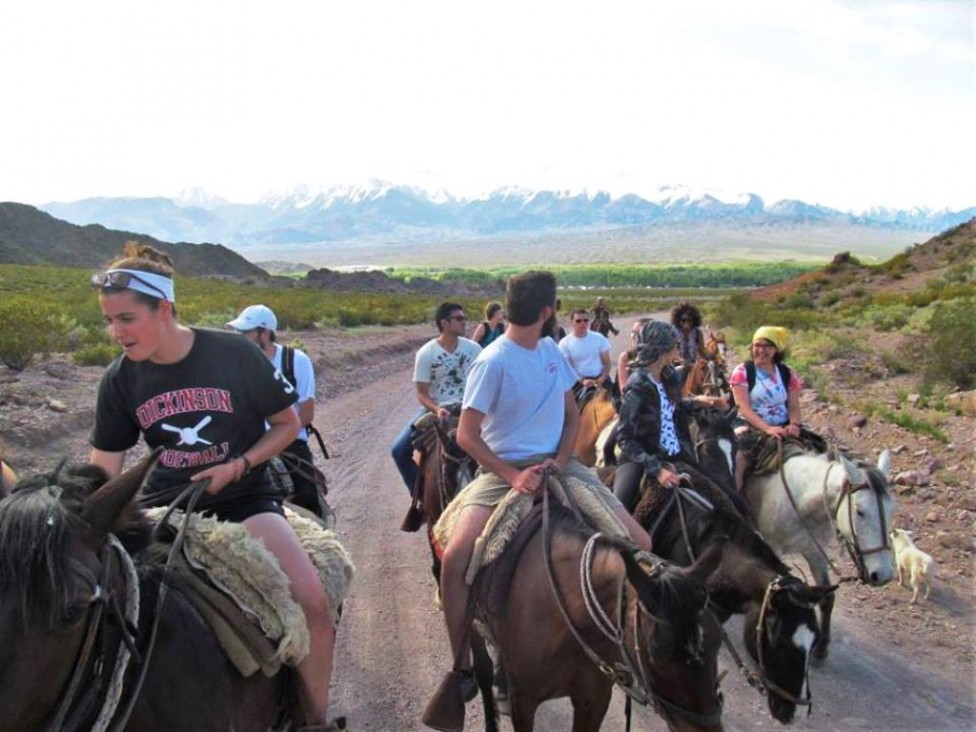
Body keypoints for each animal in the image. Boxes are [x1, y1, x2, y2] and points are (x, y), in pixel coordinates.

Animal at [748, 448, 892, 660]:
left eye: (892, 511)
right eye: (860, 511)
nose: (883, 575)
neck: (801, 499)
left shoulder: (815, 553)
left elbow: (828, 597)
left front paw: (822, 646)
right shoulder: (772, 545)